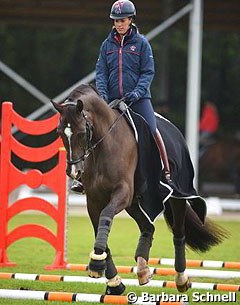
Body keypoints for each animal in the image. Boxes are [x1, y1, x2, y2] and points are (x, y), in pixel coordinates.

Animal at [51, 84, 228, 294]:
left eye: (81, 132)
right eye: (60, 132)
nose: (73, 171)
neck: (104, 145)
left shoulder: (122, 192)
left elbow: (106, 215)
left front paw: (96, 264)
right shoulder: (94, 200)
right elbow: (100, 225)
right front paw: (113, 281)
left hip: (174, 197)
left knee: (178, 232)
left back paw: (181, 279)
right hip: (135, 203)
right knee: (148, 227)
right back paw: (143, 269)